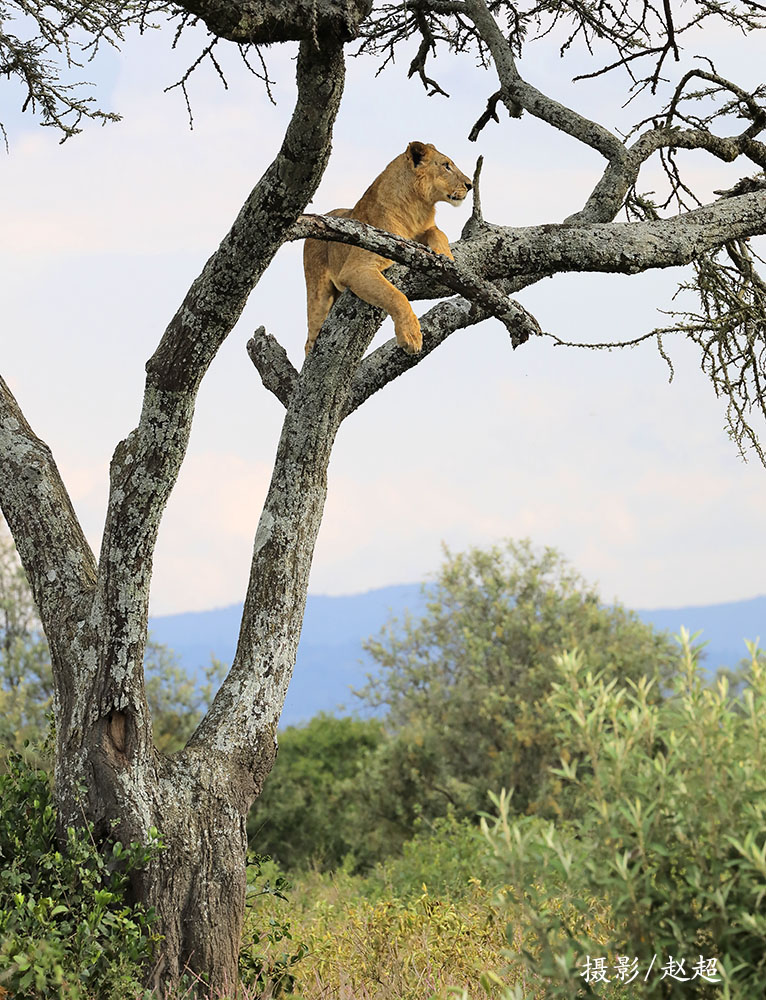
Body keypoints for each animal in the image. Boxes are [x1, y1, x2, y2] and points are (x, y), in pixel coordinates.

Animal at [304, 139, 472, 358]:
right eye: (446, 166)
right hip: (318, 292)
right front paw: (411, 337)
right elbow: (396, 296)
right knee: (310, 338)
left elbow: (439, 233)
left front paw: (446, 258)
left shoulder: (425, 229)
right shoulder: (356, 268)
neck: (417, 207)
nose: (470, 185)